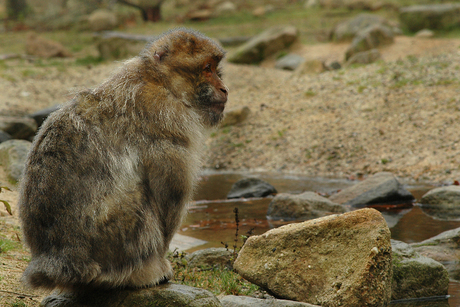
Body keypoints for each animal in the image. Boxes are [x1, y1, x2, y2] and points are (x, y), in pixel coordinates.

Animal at [19, 27, 228, 292]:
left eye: (216, 68)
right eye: (207, 68)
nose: (224, 88)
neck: (159, 80)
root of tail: (56, 260)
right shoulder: (168, 118)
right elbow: (170, 195)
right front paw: (160, 262)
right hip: (109, 237)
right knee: (140, 197)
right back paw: (140, 272)